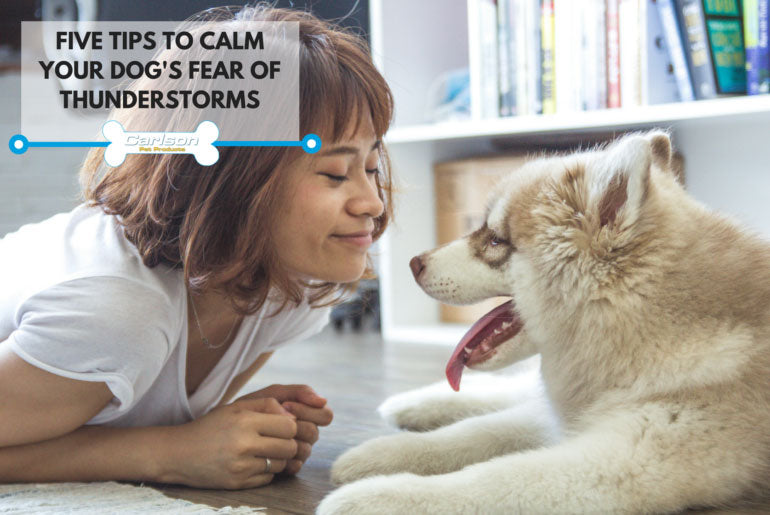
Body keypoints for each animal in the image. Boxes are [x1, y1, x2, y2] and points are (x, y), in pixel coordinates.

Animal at [318, 131, 768, 512]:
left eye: (495, 240)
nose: (413, 264)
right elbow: (475, 433)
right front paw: (379, 455)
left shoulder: (623, 460)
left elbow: (492, 479)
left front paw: (376, 498)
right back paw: (413, 403)